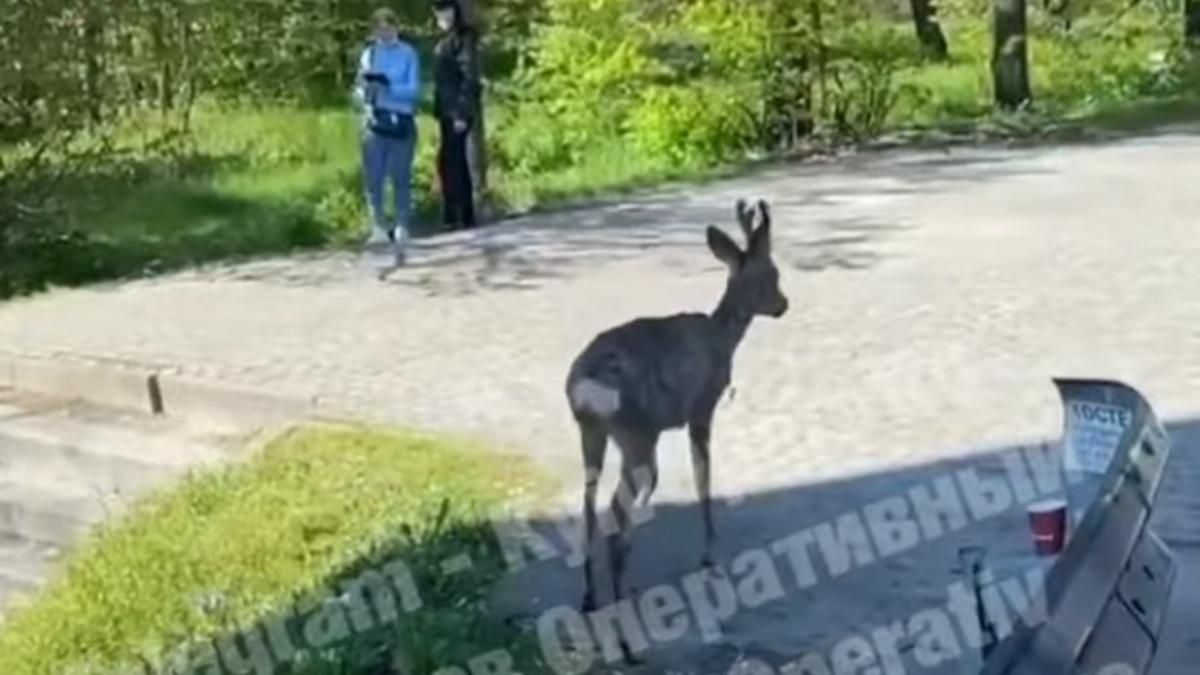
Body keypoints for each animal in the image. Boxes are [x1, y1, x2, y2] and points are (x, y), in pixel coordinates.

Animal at [564, 198, 788, 630]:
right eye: (774, 274)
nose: (784, 305)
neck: (724, 337)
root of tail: (585, 388)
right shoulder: (702, 407)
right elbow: (703, 477)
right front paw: (709, 552)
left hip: (592, 434)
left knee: (588, 505)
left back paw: (590, 596)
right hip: (636, 432)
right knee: (615, 509)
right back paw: (621, 600)